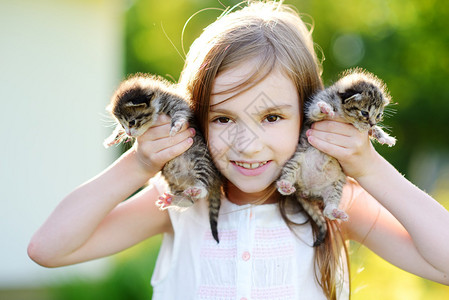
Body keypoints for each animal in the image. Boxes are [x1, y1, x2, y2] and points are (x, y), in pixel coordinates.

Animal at [103, 73, 222, 244]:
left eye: (132, 122)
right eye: (122, 123)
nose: (129, 132)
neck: (157, 103)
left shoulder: (175, 102)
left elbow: (180, 112)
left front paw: (176, 125)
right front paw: (113, 137)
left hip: (202, 161)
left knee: (203, 187)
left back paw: (198, 189)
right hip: (173, 183)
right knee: (191, 201)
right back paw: (175, 200)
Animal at [276, 70, 396, 246]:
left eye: (379, 115)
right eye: (364, 113)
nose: (372, 123)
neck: (343, 113)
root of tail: (306, 191)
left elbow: (373, 132)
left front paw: (384, 136)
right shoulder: (311, 113)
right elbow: (315, 111)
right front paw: (324, 108)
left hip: (336, 186)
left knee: (328, 209)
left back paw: (336, 212)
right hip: (295, 162)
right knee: (286, 177)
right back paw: (285, 185)